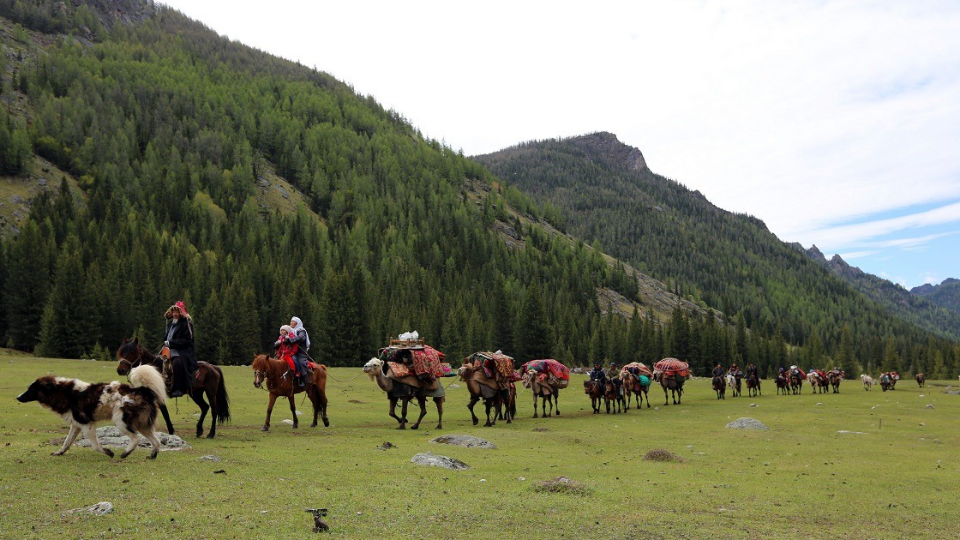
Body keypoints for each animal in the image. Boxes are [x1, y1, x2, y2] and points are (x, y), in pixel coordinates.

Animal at [15, 364, 167, 458]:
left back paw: (125, 453)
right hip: (143, 425)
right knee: (156, 441)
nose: (18, 397)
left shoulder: (87, 424)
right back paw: (152, 455)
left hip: (121, 421)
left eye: (31, 389)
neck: (63, 392)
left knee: (136, 439)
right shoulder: (76, 425)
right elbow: (66, 442)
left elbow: (95, 446)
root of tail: (142, 390)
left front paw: (108, 452)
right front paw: (59, 453)